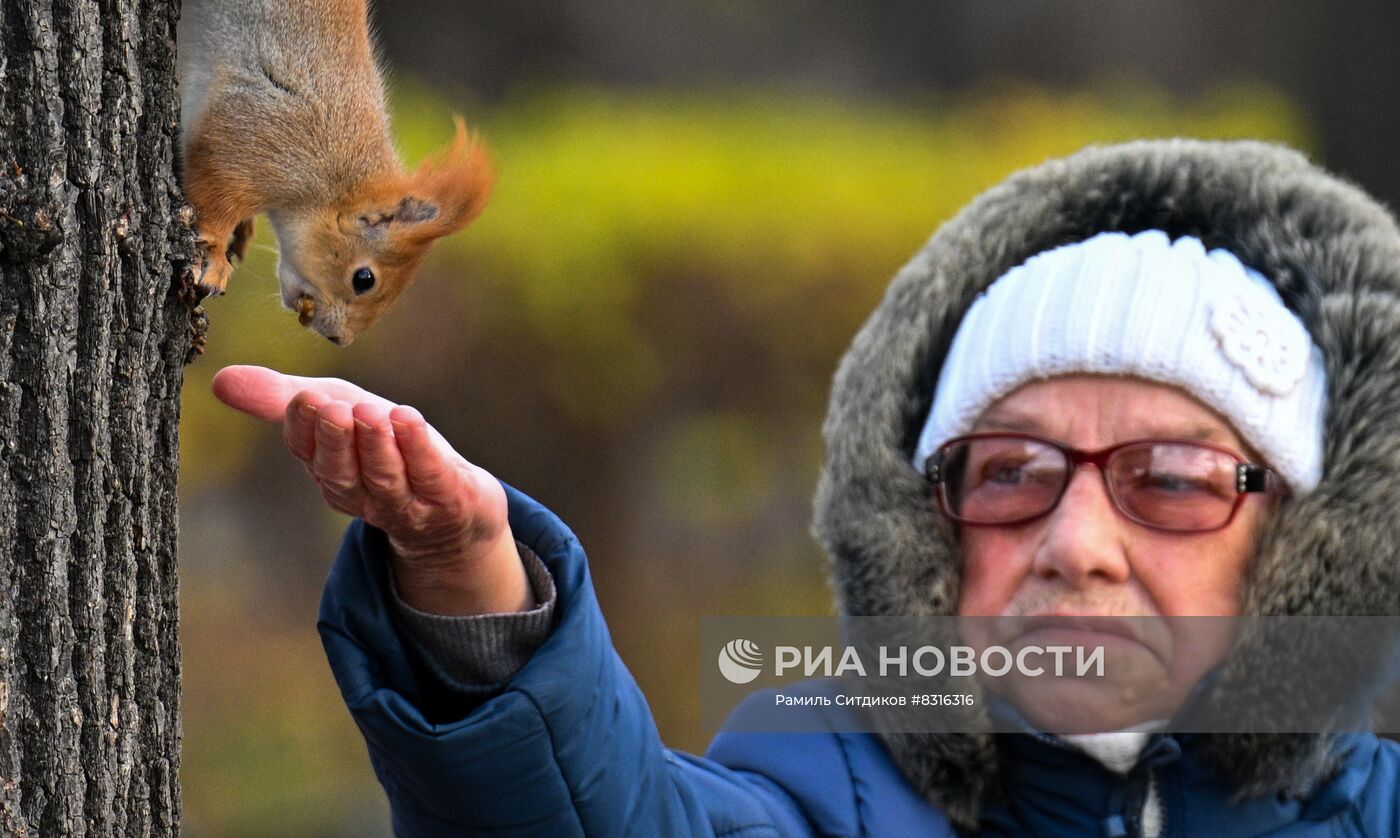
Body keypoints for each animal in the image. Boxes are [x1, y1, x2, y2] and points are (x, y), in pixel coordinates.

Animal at [179, 0, 498, 344]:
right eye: (364, 279)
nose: (340, 339)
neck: (339, 180)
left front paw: (243, 231)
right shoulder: (259, 133)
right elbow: (216, 196)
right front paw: (215, 257)